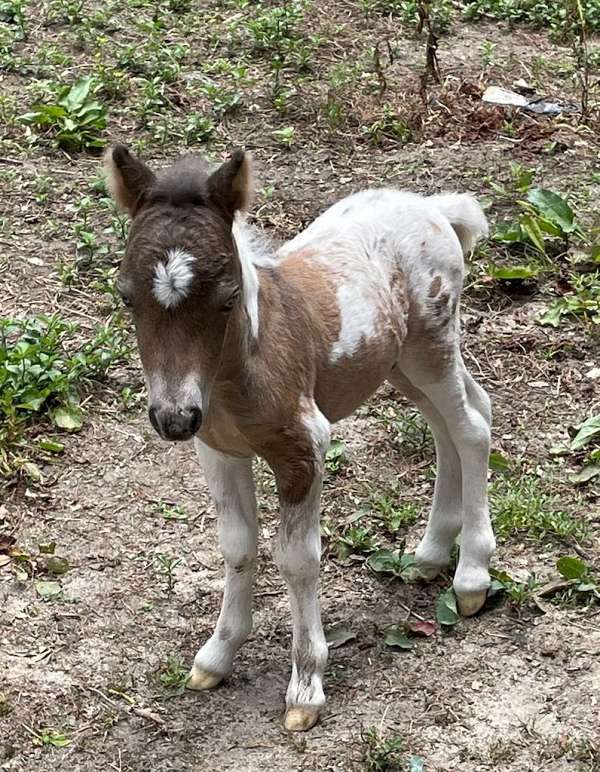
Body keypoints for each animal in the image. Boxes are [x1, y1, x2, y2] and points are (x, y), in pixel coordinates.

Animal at [105, 148, 494, 732]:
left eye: (227, 299)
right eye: (127, 298)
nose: (174, 419)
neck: (239, 372)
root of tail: (434, 208)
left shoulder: (305, 446)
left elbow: (297, 558)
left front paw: (306, 686)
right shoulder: (217, 451)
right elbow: (237, 546)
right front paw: (216, 657)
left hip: (432, 346)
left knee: (471, 427)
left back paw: (471, 577)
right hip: (400, 363)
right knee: (452, 422)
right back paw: (429, 554)